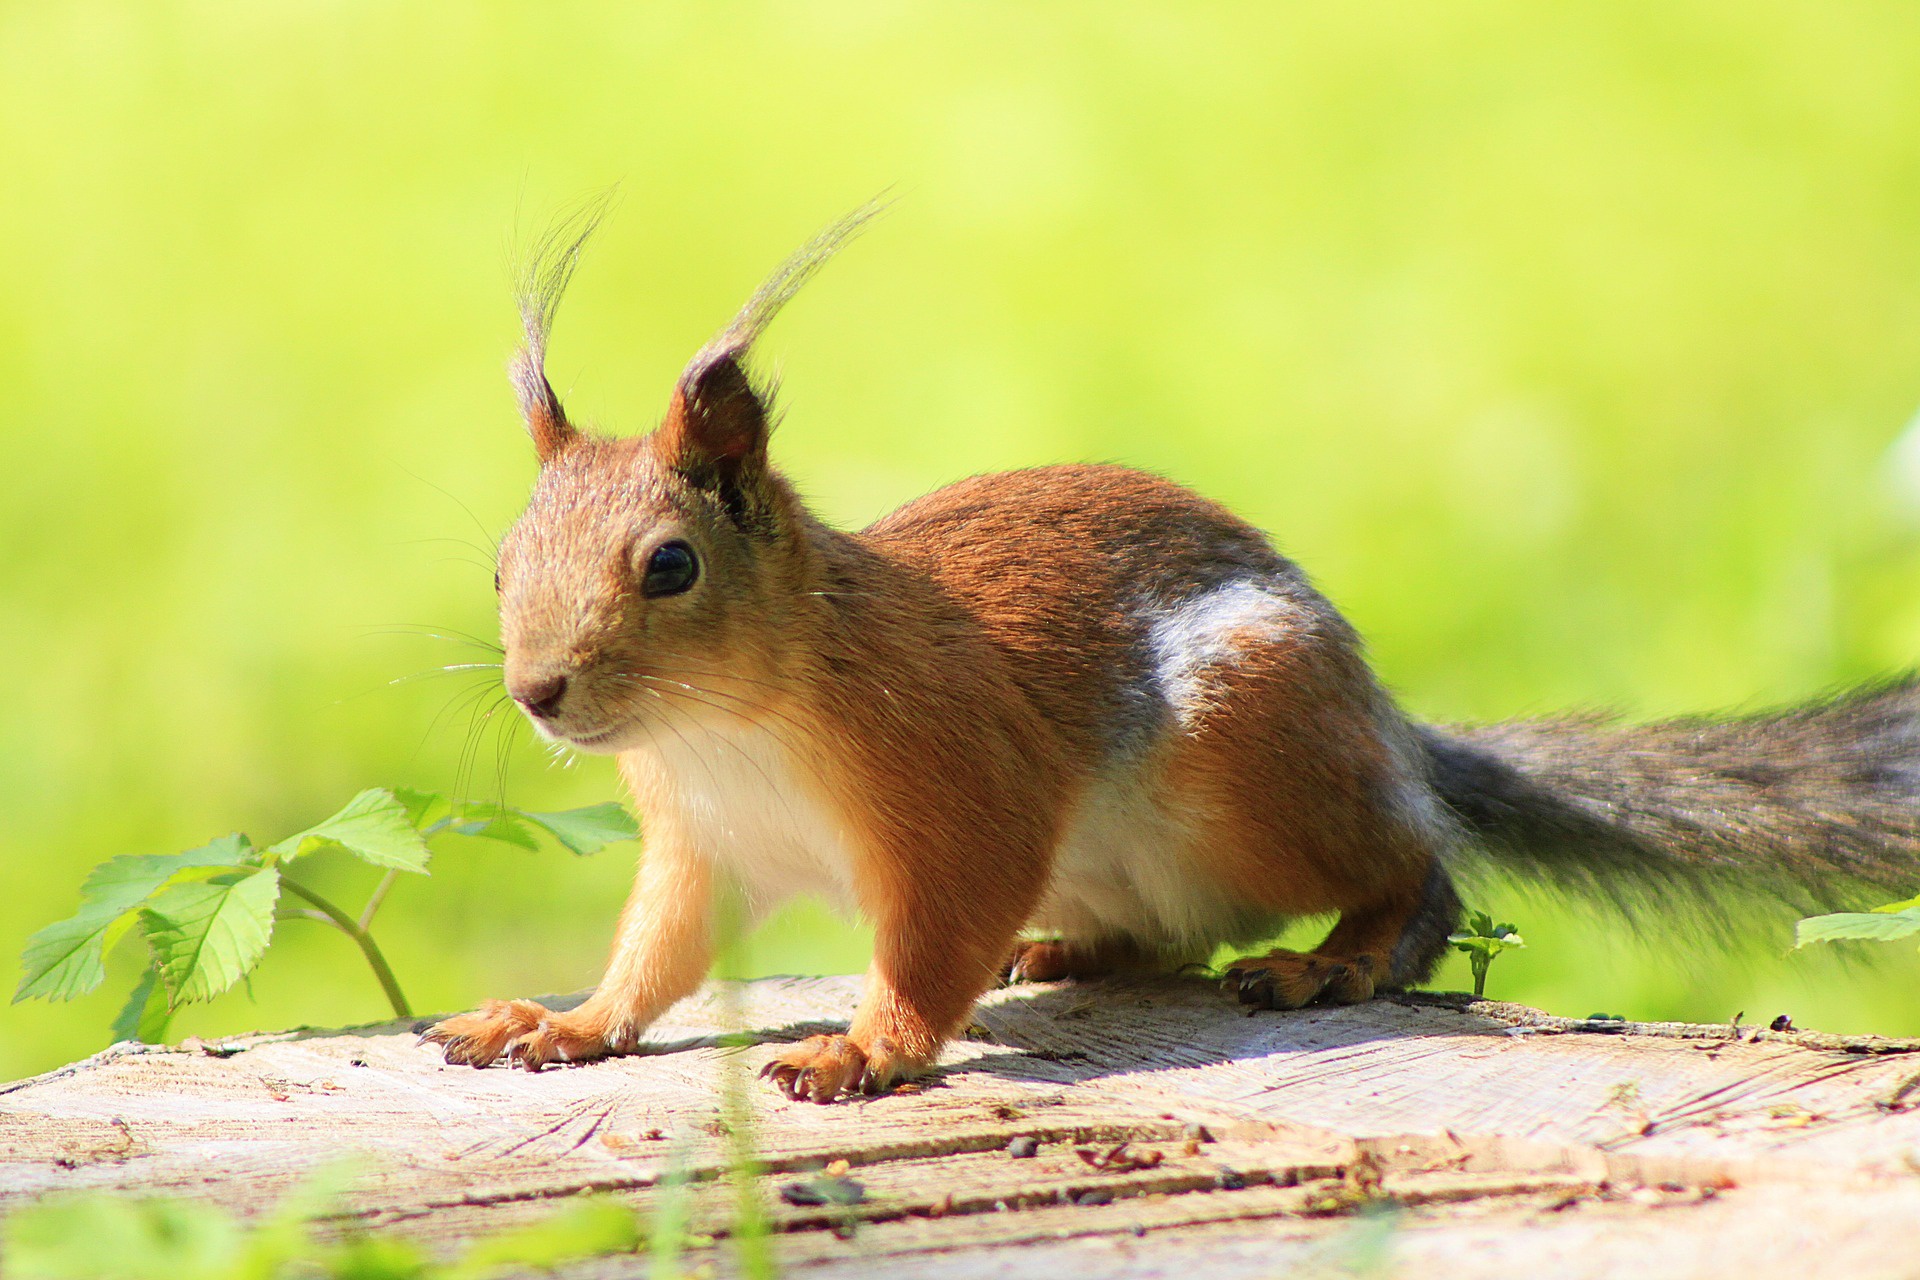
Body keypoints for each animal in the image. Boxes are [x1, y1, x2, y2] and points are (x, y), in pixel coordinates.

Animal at [428, 208, 1920, 1105]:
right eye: (499, 561)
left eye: (671, 565)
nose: (538, 691)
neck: (730, 724)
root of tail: (1388, 729)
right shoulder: (702, 846)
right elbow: (654, 958)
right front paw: (558, 1023)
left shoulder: (962, 784)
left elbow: (932, 942)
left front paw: (863, 1048)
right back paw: (1070, 950)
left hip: (1250, 746)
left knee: (1421, 873)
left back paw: (1334, 959)